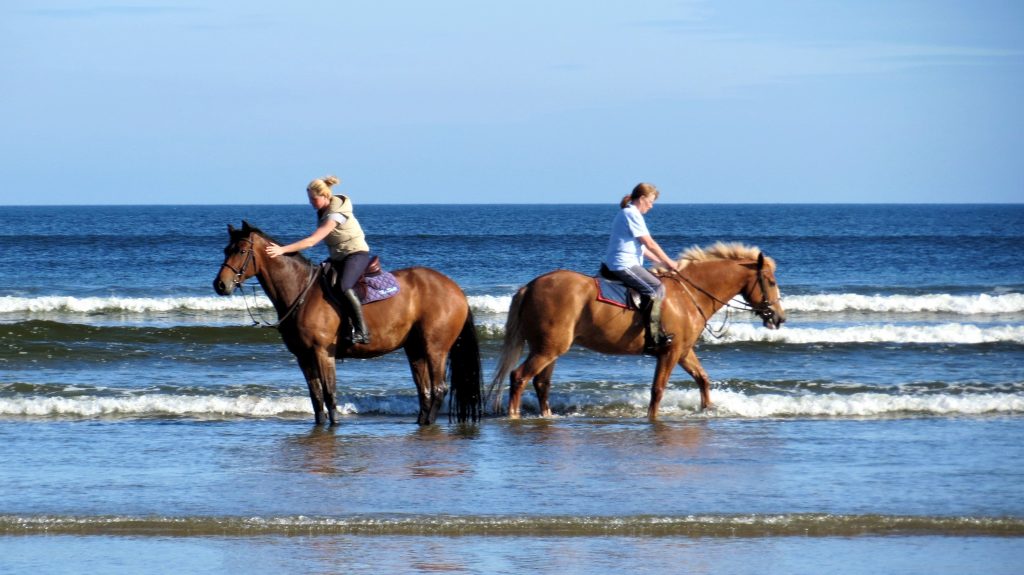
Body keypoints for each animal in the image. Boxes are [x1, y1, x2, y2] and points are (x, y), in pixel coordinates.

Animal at [212, 222, 483, 423]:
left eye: (241, 251)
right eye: (226, 250)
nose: (220, 285)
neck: (301, 291)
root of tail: (455, 289)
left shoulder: (322, 353)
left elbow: (329, 394)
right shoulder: (303, 356)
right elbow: (316, 397)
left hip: (435, 349)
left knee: (438, 389)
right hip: (414, 349)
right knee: (424, 390)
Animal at [487, 240, 782, 415]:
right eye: (770, 281)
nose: (778, 318)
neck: (688, 295)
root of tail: (530, 286)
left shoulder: (683, 351)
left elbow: (702, 379)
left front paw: (707, 410)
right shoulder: (670, 352)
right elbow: (658, 390)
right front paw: (653, 419)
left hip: (550, 349)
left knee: (541, 383)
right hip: (548, 349)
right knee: (519, 377)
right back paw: (514, 416)